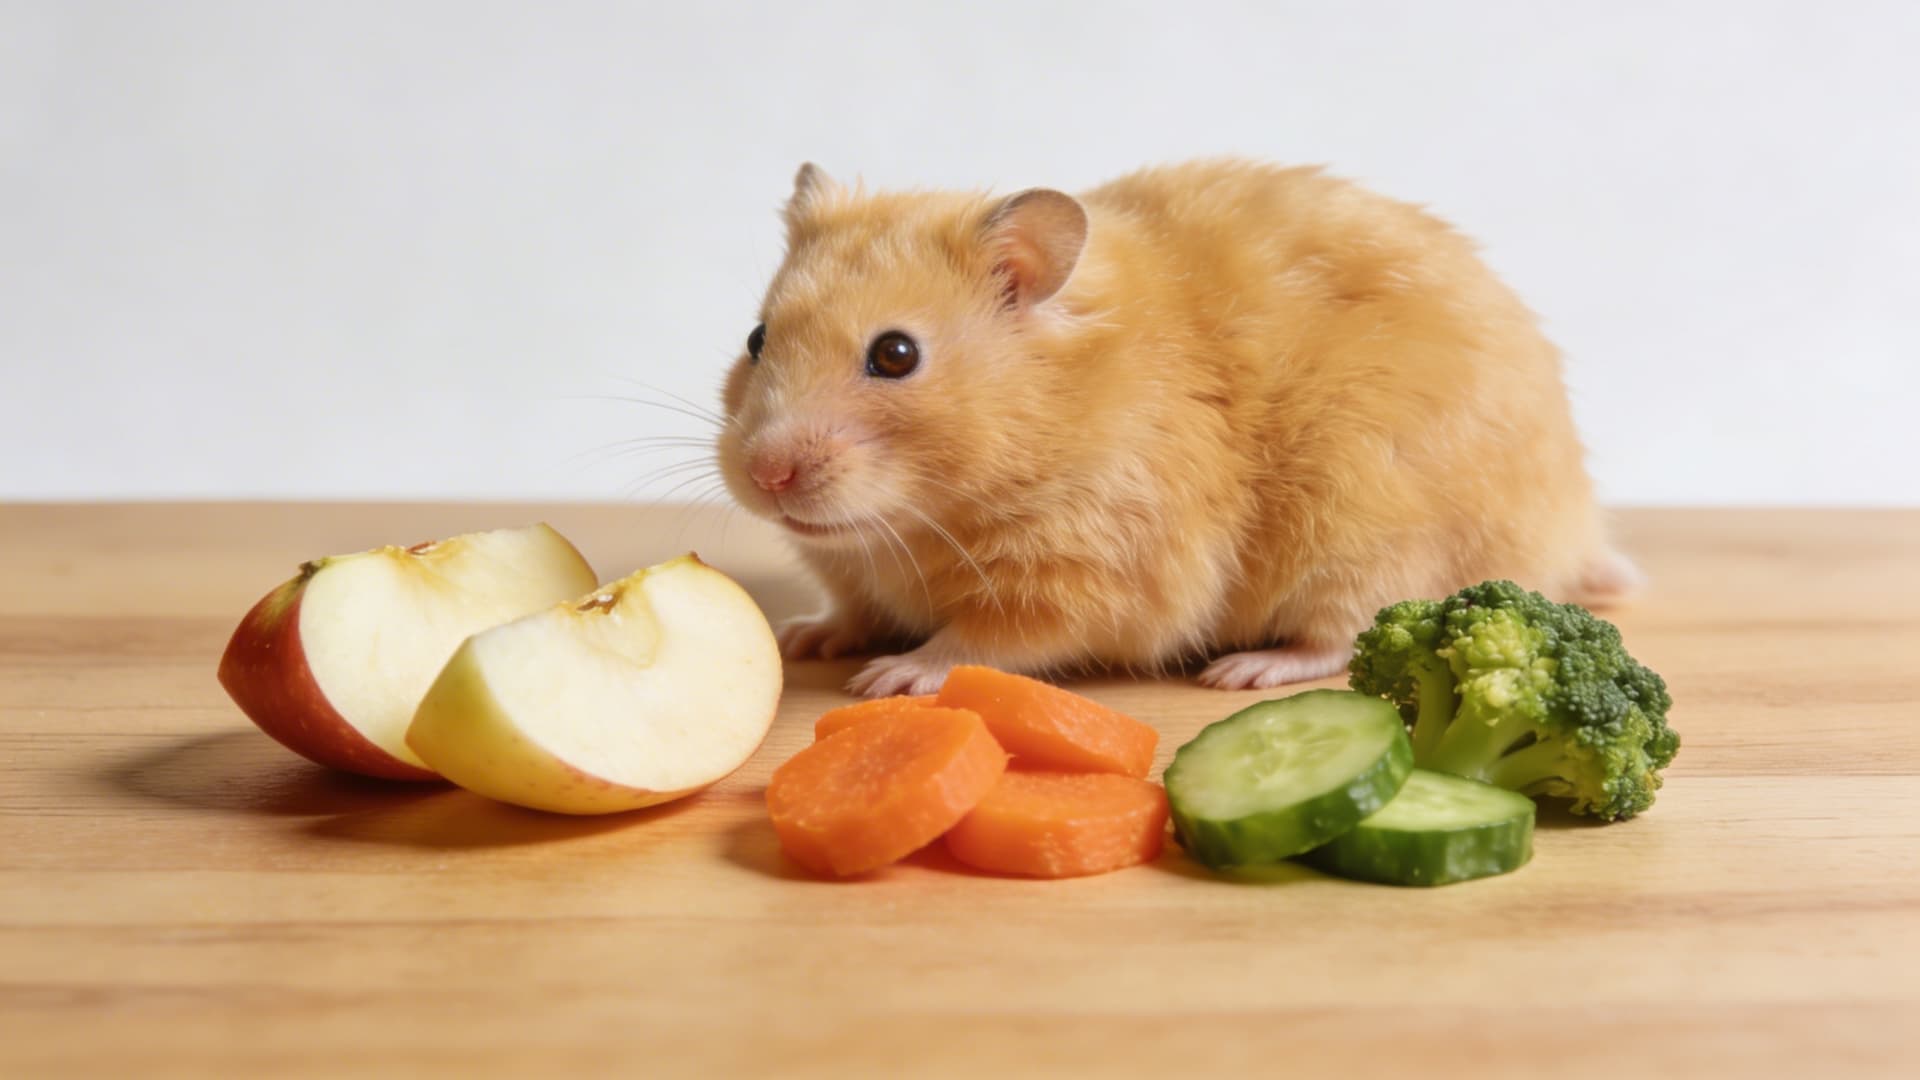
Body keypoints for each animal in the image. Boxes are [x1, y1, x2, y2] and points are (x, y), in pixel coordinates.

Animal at [715, 159, 1634, 697]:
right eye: (756, 338)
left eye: (896, 355)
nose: (765, 475)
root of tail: (1574, 528)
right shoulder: (857, 573)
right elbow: (850, 607)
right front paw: (807, 639)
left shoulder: (1088, 575)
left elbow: (983, 638)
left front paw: (889, 677)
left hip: (1365, 535)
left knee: (1341, 635)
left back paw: (1244, 671)